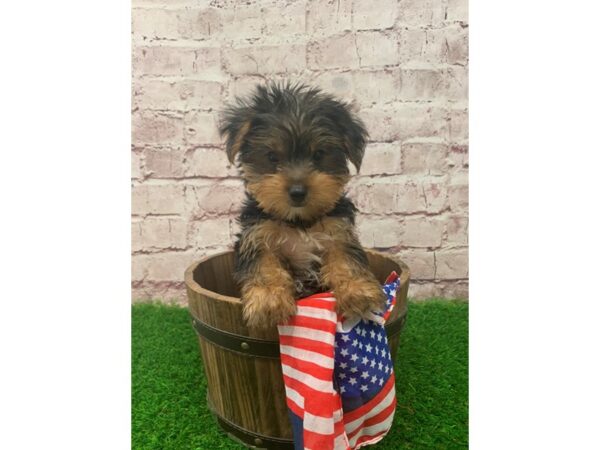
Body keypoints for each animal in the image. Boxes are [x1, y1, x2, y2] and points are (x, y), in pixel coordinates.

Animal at [219, 81, 384, 326]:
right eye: (272, 157)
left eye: (319, 154)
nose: (297, 192)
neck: (299, 221)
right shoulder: (256, 236)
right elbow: (265, 264)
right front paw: (269, 300)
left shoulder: (338, 231)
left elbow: (346, 257)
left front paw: (357, 292)